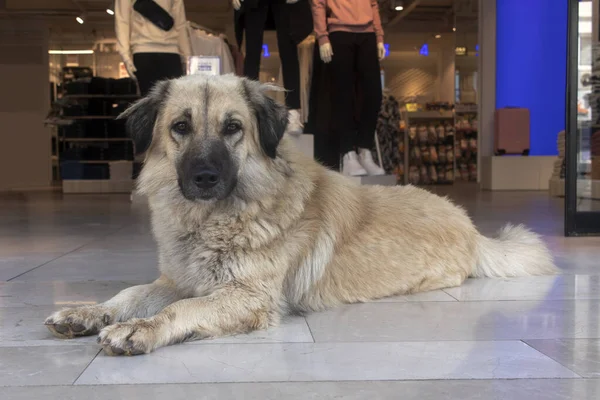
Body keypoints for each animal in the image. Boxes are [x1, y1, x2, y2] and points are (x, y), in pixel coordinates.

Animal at [44, 73, 556, 354]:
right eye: (181, 127)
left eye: (233, 128)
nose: (205, 177)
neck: (215, 220)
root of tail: (470, 225)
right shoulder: (177, 279)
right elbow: (131, 295)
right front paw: (89, 311)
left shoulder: (248, 297)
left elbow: (182, 309)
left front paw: (141, 329)